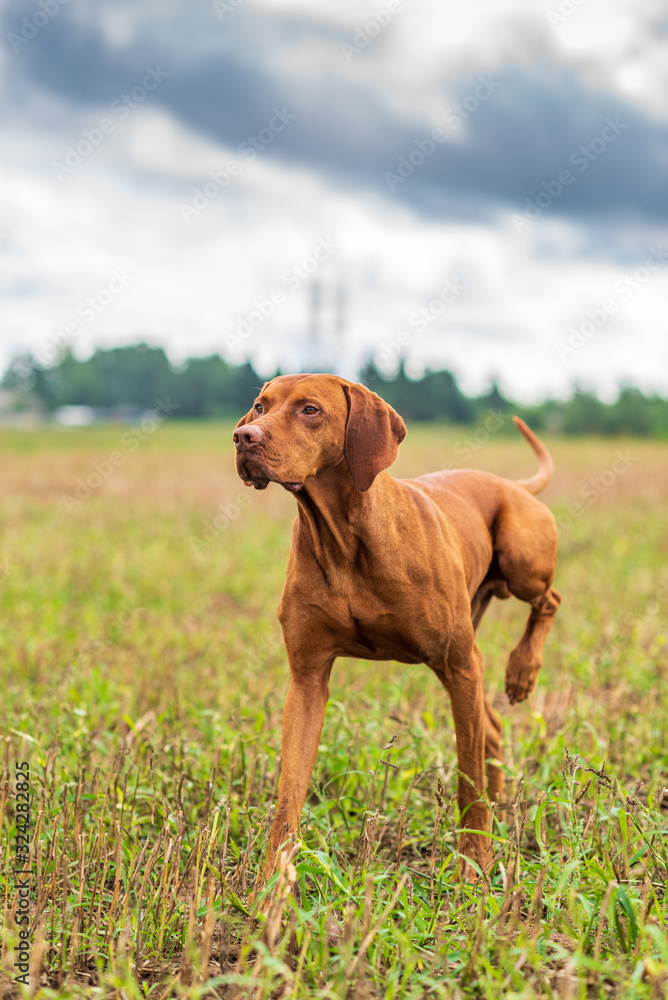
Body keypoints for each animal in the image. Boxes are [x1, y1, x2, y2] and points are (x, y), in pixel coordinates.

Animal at [234, 374, 560, 876]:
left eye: (310, 409)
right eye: (260, 406)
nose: (243, 437)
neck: (344, 535)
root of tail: (509, 483)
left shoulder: (458, 665)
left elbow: (467, 776)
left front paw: (473, 862)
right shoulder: (307, 679)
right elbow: (289, 792)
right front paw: (275, 876)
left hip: (521, 563)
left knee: (548, 601)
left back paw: (523, 669)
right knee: (491, 727)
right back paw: (503, 805)